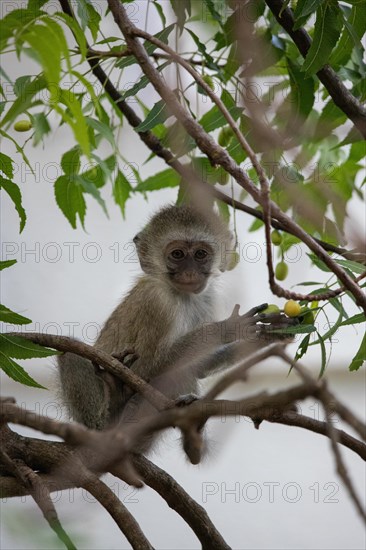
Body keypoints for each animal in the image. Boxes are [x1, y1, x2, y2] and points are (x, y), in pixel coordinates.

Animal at [57, 205, 294, 450]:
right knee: (71, 356)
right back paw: (111, 415)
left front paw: (271, 334)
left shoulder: (208, 300)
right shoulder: (157, 303)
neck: (182, 296)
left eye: (200, 254)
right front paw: (225, 329)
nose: (189, 272)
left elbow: (198, 369)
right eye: (177, 254)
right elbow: (142, 370)